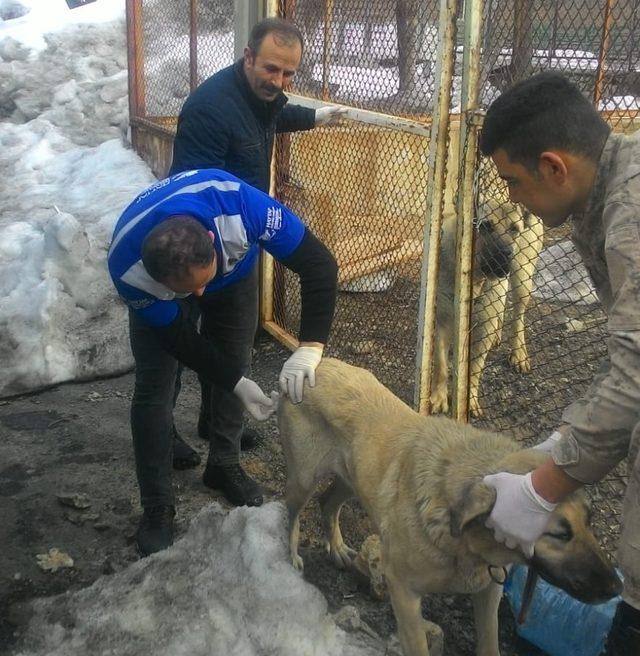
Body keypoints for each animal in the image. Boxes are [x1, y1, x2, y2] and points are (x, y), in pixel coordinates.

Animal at [278, 358, 620, 656]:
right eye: (560, 535)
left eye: (590, 521)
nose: (617, 587)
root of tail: (319, 362)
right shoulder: (402, 590)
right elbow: (417, 646)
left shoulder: (488, 591)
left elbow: (490, 642)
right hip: (304, 480)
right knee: (290, 512)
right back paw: (291, 557)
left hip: (352, 478)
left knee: (327, 502)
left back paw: (336, 548)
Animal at [430, 197, 544, 418]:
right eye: (485, 226)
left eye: (514, 229)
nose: (505, 255)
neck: (474, 277)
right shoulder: (442, 321)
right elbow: (441, 365)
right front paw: (439, 397)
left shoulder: (483, 330)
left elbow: (475, 367)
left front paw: (470, 399)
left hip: (522, 279)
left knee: (518, 317)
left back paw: (518, 353)